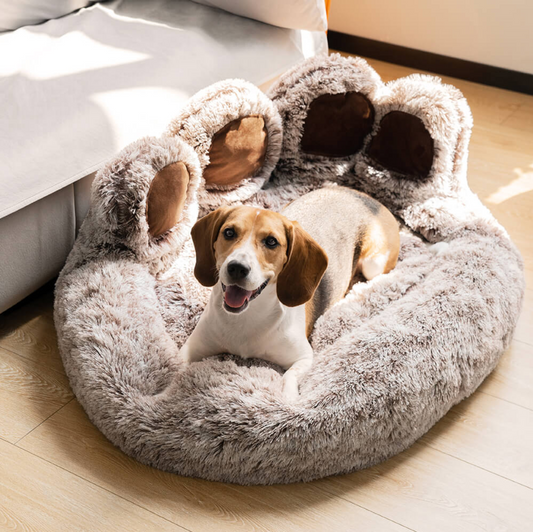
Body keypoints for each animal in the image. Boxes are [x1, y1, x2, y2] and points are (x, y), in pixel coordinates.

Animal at [180, 186, 400, 400]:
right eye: (229, 233)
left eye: (271, 242)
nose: (237, 268)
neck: (246, 317)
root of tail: (365, 197)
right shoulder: (193, 345)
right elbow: (177, 367)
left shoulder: (305, 357)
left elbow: (290, 376)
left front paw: (288, 400)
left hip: (373, 265)